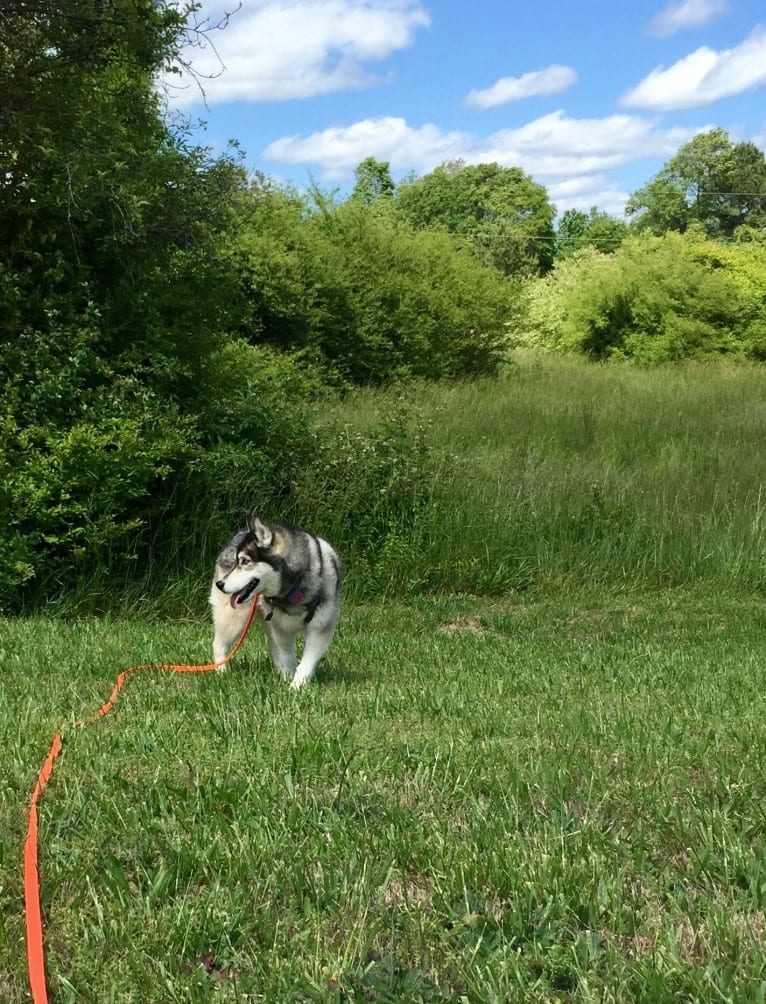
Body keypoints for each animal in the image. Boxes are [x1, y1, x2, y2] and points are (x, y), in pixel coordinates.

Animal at [209, 518, 341, 690]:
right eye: (237, 561)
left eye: (245, 561)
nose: (220, 584)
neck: (292, 593)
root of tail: (239, 533)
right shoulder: (281, 630)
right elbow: (287, 656)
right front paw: (290, 682)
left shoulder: (320, 629)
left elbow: (306, 663)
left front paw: (295, 686)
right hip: (235, 619)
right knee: (219, 645)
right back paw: (222, 673)